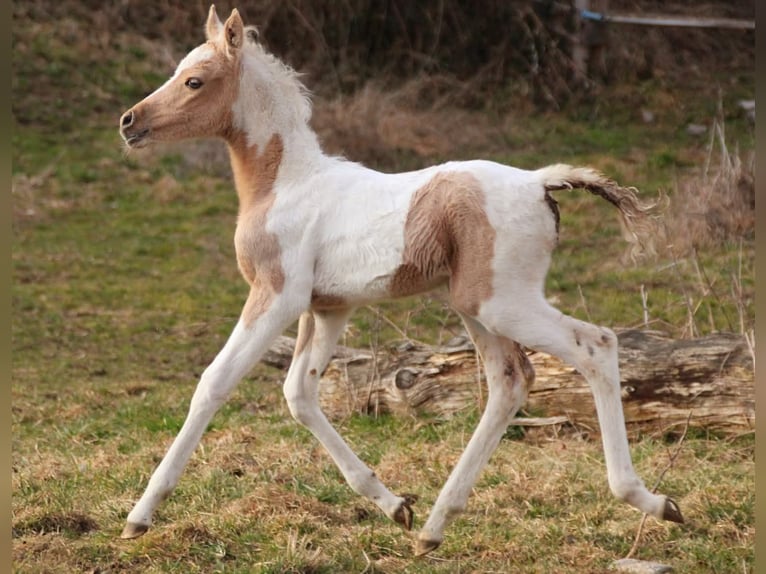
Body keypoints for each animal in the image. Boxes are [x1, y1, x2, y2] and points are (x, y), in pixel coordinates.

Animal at [118, 5, 683, 555]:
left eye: (194, 80)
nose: (129, 121)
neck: (284, 183)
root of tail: (539, 182)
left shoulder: (277, 296)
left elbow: (215, 383)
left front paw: (139, 516)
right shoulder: (327, 308)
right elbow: (300, 394)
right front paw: (393, 505)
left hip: (503, 302)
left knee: (596, 344)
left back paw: (649, 500)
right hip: (474, 307)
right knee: (510, 380)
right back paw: (433, 526)